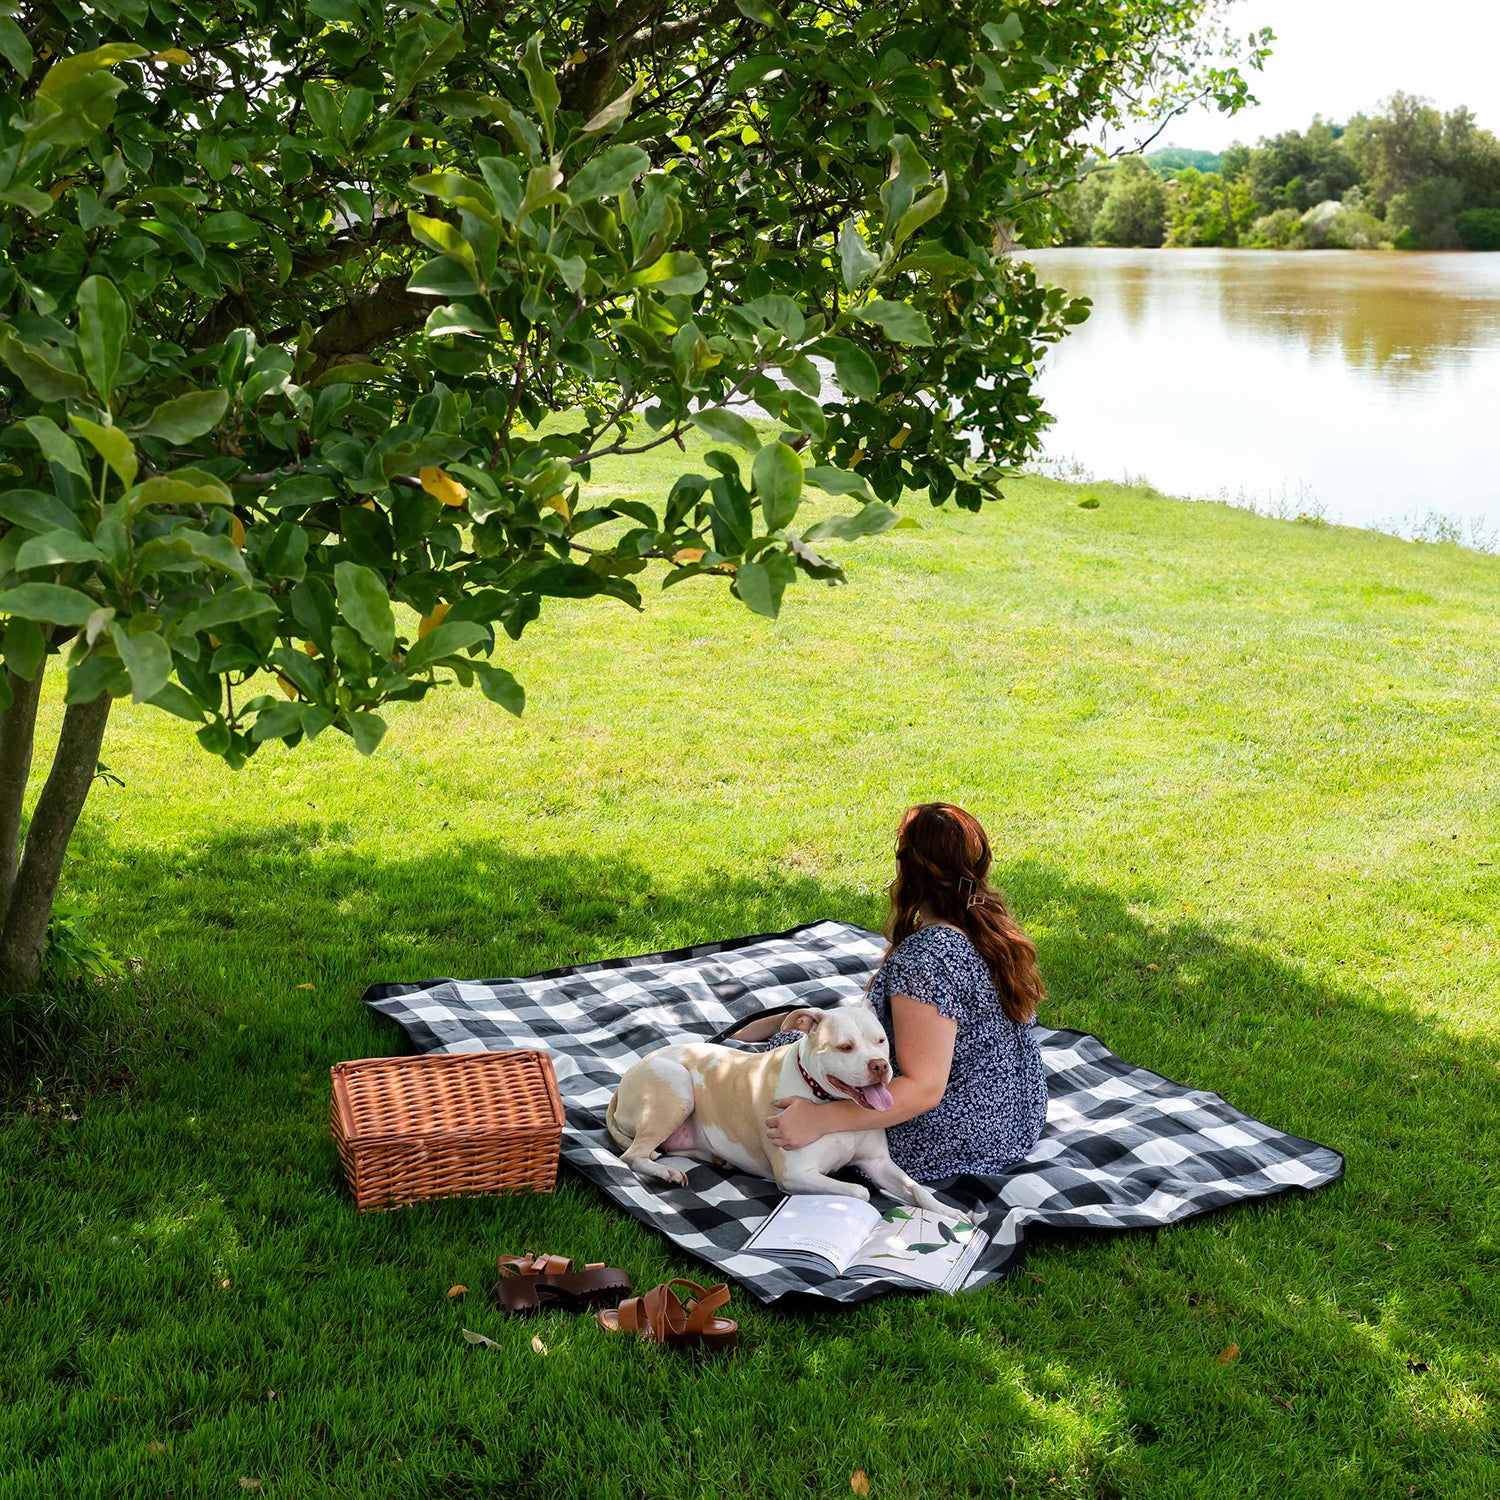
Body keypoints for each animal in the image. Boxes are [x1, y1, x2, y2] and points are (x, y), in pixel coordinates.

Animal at [606, 1002, 936, 1212]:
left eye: (881, 1040)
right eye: (846, 1047)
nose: (880, 1066)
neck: (828, 1106)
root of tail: (626, 1079)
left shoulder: (878, 1163)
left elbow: (918, 1189)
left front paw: (946, 1214)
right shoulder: (795, 1175)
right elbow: (861, 1191)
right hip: (678, 1086)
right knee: (632, 1155)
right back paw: (667, 1172)